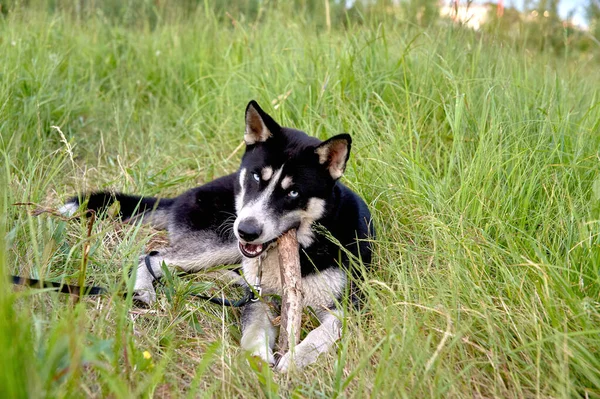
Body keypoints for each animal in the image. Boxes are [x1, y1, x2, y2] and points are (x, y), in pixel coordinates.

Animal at [65, 101, 376, 372]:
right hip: (222, 241)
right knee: (152, 256)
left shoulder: (345, 307)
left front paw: (294, 359)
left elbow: (322, 333)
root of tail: (179, 197)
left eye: (293, 192)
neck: (304, 247)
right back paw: (143, 287)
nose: (248, 230)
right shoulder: (260, 299)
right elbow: (252, 333)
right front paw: (257, 359)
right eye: (256, 177)